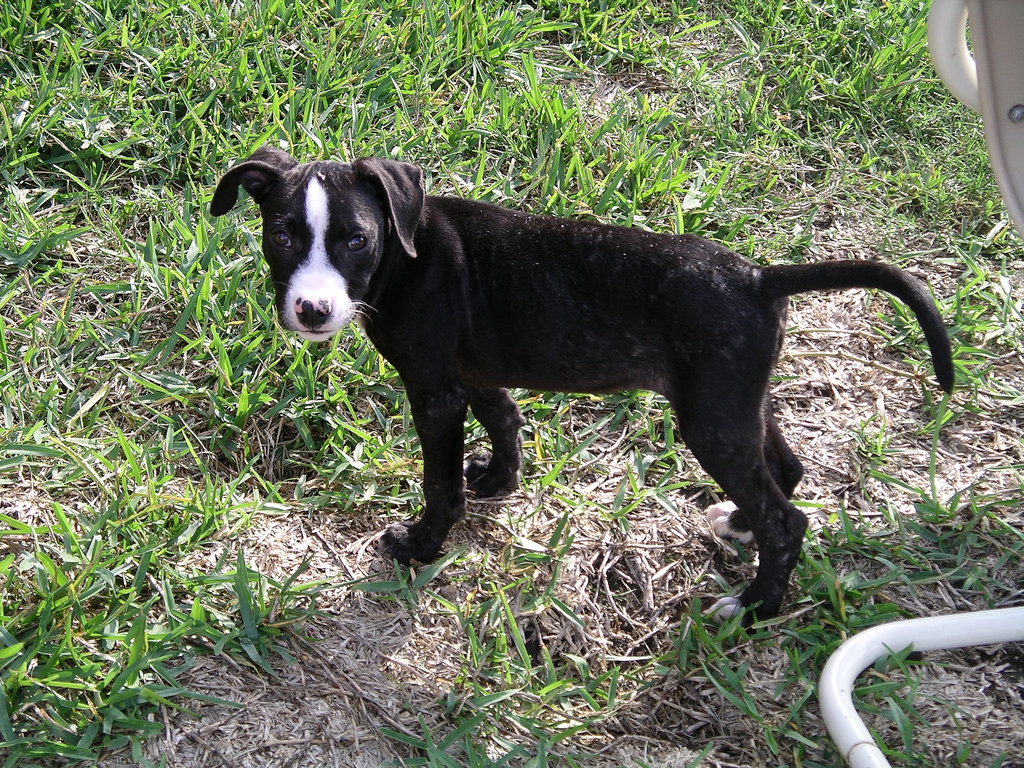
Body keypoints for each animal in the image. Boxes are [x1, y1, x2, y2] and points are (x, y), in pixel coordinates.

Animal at [211, 147, 954, 622]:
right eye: (283, 234)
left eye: (355, 239)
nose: (312, 310)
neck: (408, 251)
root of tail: (758, 277)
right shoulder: (474, 373)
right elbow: (504, 419)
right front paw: (499, 481)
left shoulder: (435, 392)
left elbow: (440, 483)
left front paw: (422, 546)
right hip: (734, 400)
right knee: (785, 471)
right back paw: (739, 526)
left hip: (711, 419)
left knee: (786, 518)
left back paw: (755, 608)